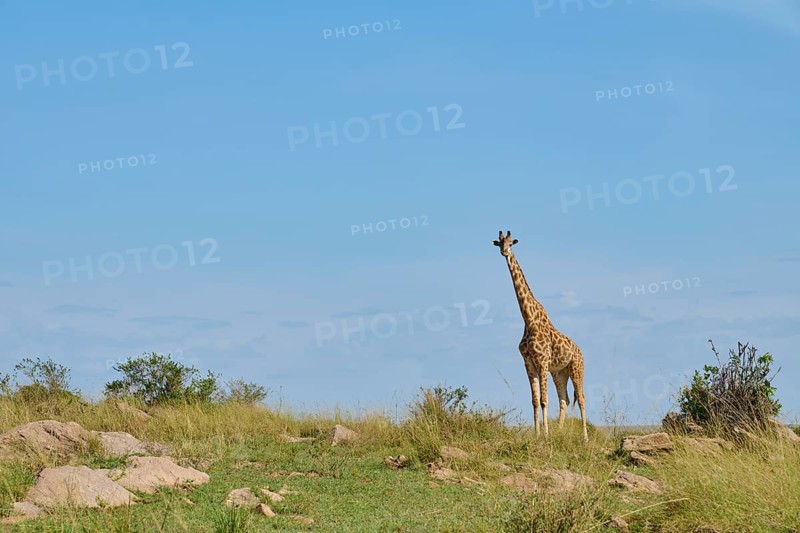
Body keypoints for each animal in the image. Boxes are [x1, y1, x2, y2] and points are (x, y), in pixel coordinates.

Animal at [492, 230, 588, 442]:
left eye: (511, 243)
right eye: (499, 243)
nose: (504, 252)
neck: (529, 320)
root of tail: (580, 351)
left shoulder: (542, 361)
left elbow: (544, 400)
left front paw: (545, 434)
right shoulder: (528, 363)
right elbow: (535, 400)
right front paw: (538, 434)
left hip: (576, 368)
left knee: (581, 398)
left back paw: (585, 439)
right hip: (559, 372)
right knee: (564, 398)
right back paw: (560, 432)